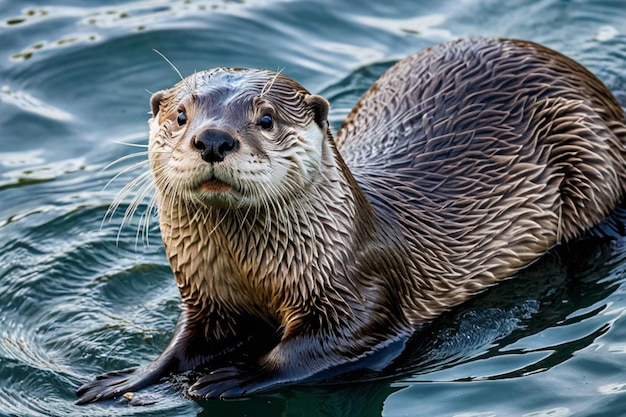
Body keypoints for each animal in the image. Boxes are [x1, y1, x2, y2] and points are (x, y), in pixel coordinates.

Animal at [77, 39, 624, 404]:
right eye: (181, 116)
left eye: (266, 118)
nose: (213, 138)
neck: (253, 273)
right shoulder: (207, 297)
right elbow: (186, 342)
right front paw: (129, 377)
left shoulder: (361, 293)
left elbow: (318, 350)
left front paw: (235, 375)